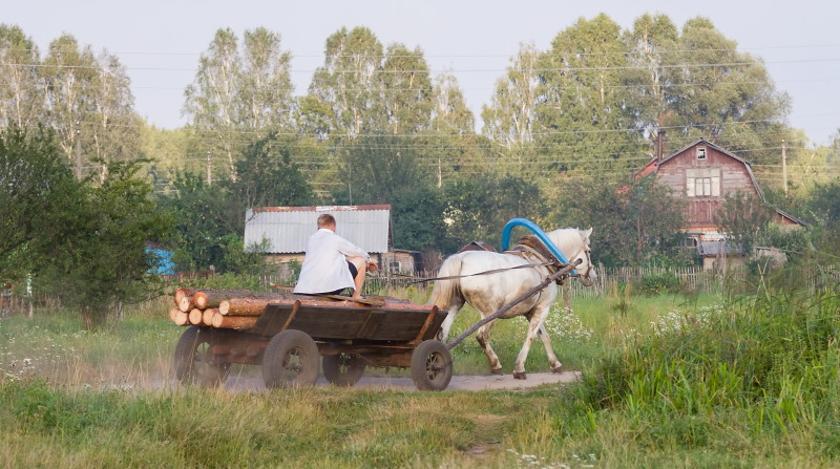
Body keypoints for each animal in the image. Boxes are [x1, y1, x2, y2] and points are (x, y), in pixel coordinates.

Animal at [430, 229, 592, 378]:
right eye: (588, 251)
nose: (592, 276)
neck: (542, 261)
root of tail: (461, 258)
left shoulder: (530, 311)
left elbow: (544, 336)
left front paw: (555, 364)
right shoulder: (543, 308)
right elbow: (531, 336)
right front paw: (519, 368)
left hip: (454, 305)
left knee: (442, 334)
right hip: (490, 312)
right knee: (481, 336)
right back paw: (495, 365)